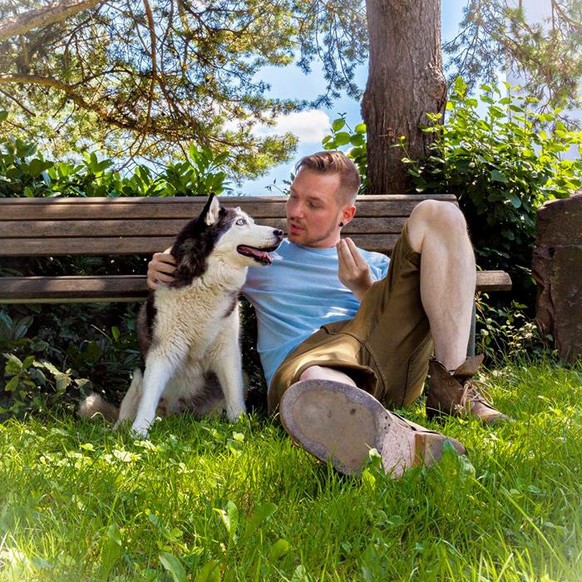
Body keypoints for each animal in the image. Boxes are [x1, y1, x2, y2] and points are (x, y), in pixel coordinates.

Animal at [80, 196, 286, 438]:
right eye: (241, 223)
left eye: (251, 221)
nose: (280, 232)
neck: (205, 283)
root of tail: (178, 414)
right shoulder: (163, 350)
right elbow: (148, 399)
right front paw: (139, 432)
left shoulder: (228, 351)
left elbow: (235, 397)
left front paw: (241, 427)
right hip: (139, 376)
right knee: (128, 410)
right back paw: (122, 427)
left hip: (238, 378)